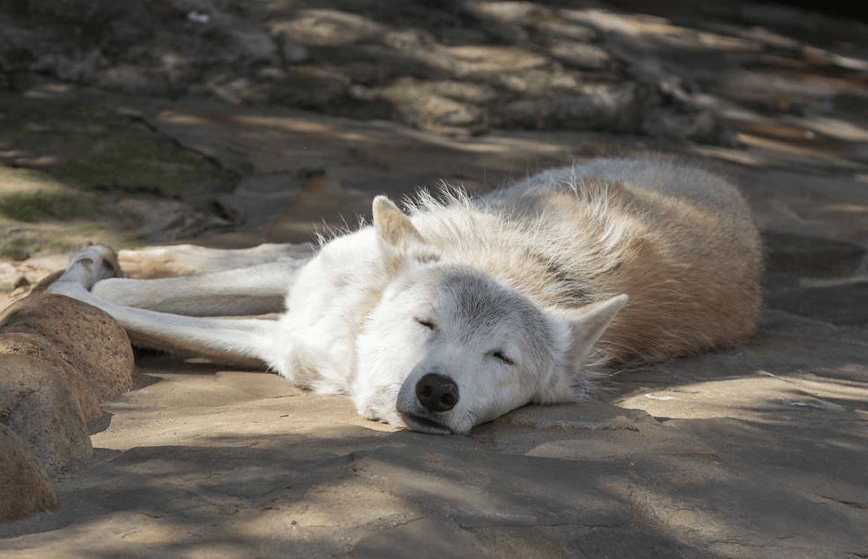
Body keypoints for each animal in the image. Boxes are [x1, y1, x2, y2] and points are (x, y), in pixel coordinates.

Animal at [50, 160, 764, 436]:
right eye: (427, 322)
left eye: (501, 358)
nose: (438, 391)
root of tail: (728, 187)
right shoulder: (303, 315)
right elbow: (114, 294)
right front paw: (73, 274)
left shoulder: (283, 346)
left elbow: (117, 305)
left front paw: (71, 284)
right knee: (270, 251)